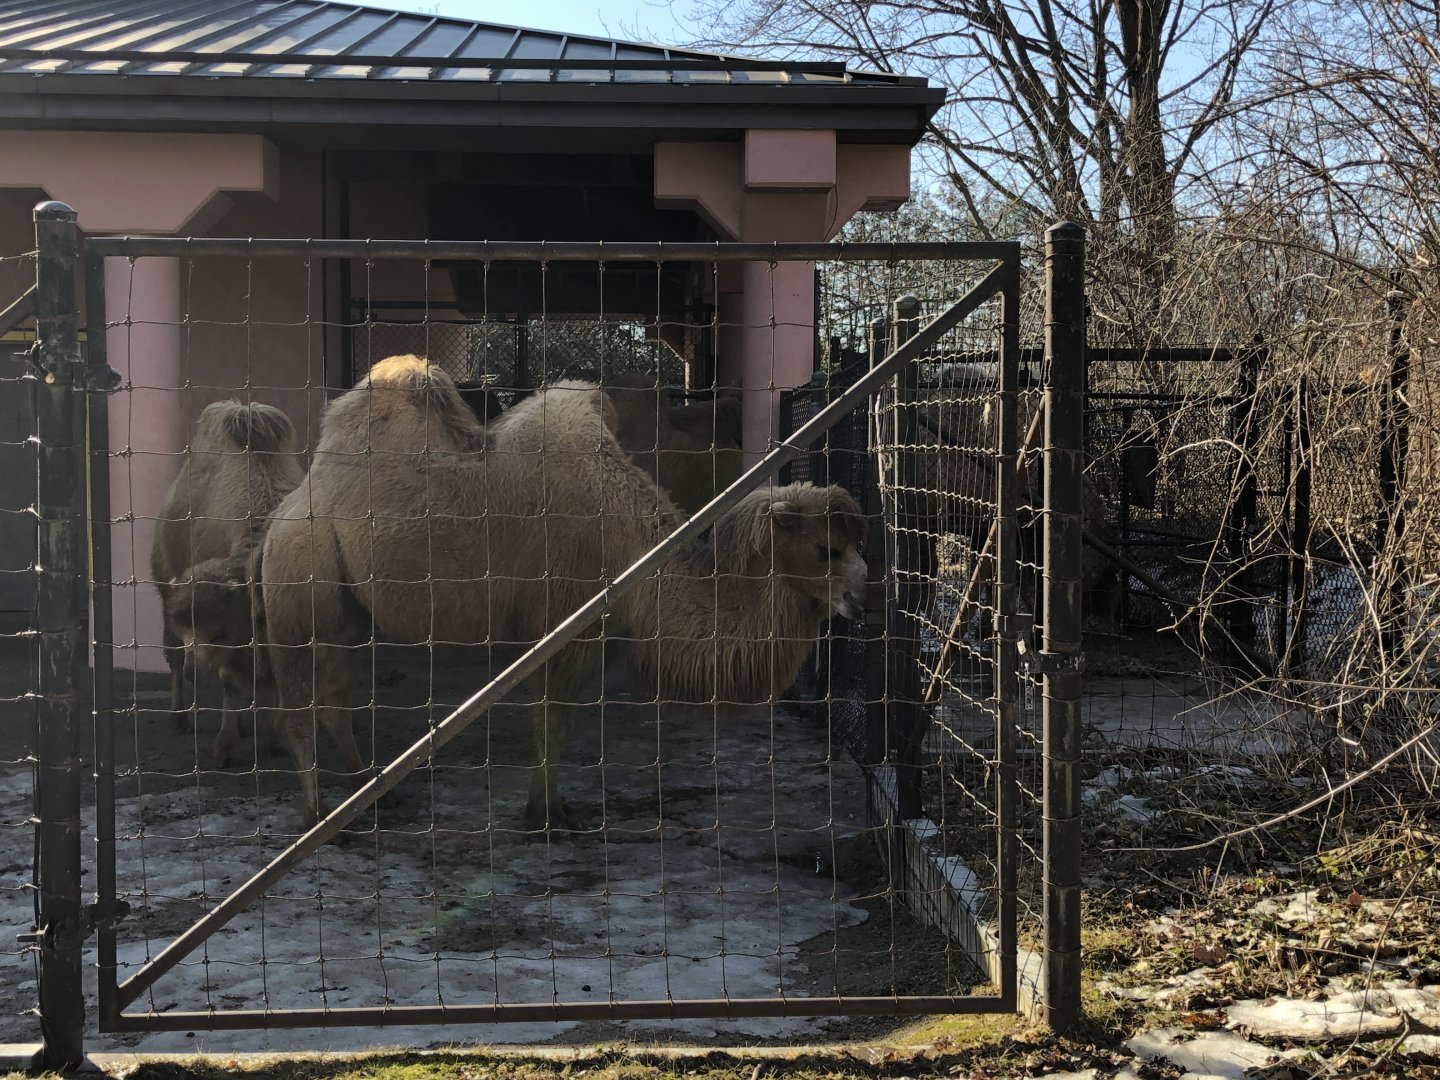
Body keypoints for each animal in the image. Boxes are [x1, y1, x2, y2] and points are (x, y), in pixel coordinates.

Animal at [150, 400, 304, 764]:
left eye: (219, 632)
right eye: (189, 629)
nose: (195, 671)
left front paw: (270, 738)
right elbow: (230, 682)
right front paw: (226, 747)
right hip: (163, 587)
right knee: (172, 655)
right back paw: (179, 719)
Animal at [260, 354, 865, 830]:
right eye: (827, 549)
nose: (861, 597)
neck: (634, 552)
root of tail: (289, 507)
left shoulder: (595, 637)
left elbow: (559, 725)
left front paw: (550, 808)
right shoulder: (565, 628)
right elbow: (552, 725)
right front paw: (548, 816)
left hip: (346, 613)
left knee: (334, 697)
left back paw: (368, 789)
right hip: (297, 589)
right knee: (296, 707)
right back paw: (319, 814)